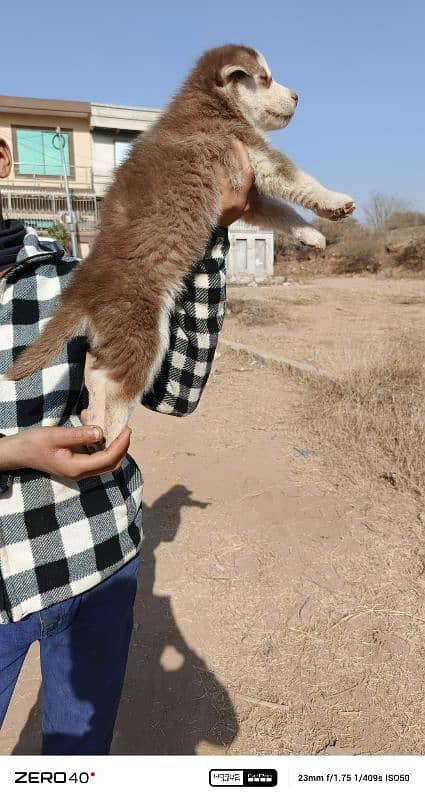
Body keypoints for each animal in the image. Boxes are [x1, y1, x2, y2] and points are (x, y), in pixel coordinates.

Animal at [7, 45, 354, 444]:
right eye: (265, 78)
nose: (298, 96)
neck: (208, 102)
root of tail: (81, 292)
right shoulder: (246, 149)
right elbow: (298, 180)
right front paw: (336, 201)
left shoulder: (249, 192)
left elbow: (282, 212)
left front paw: (311, 233)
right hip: (143, 333)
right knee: (121, 391)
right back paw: (112, 435)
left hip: (114, 337)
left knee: (96, 375)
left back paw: (93, 417)